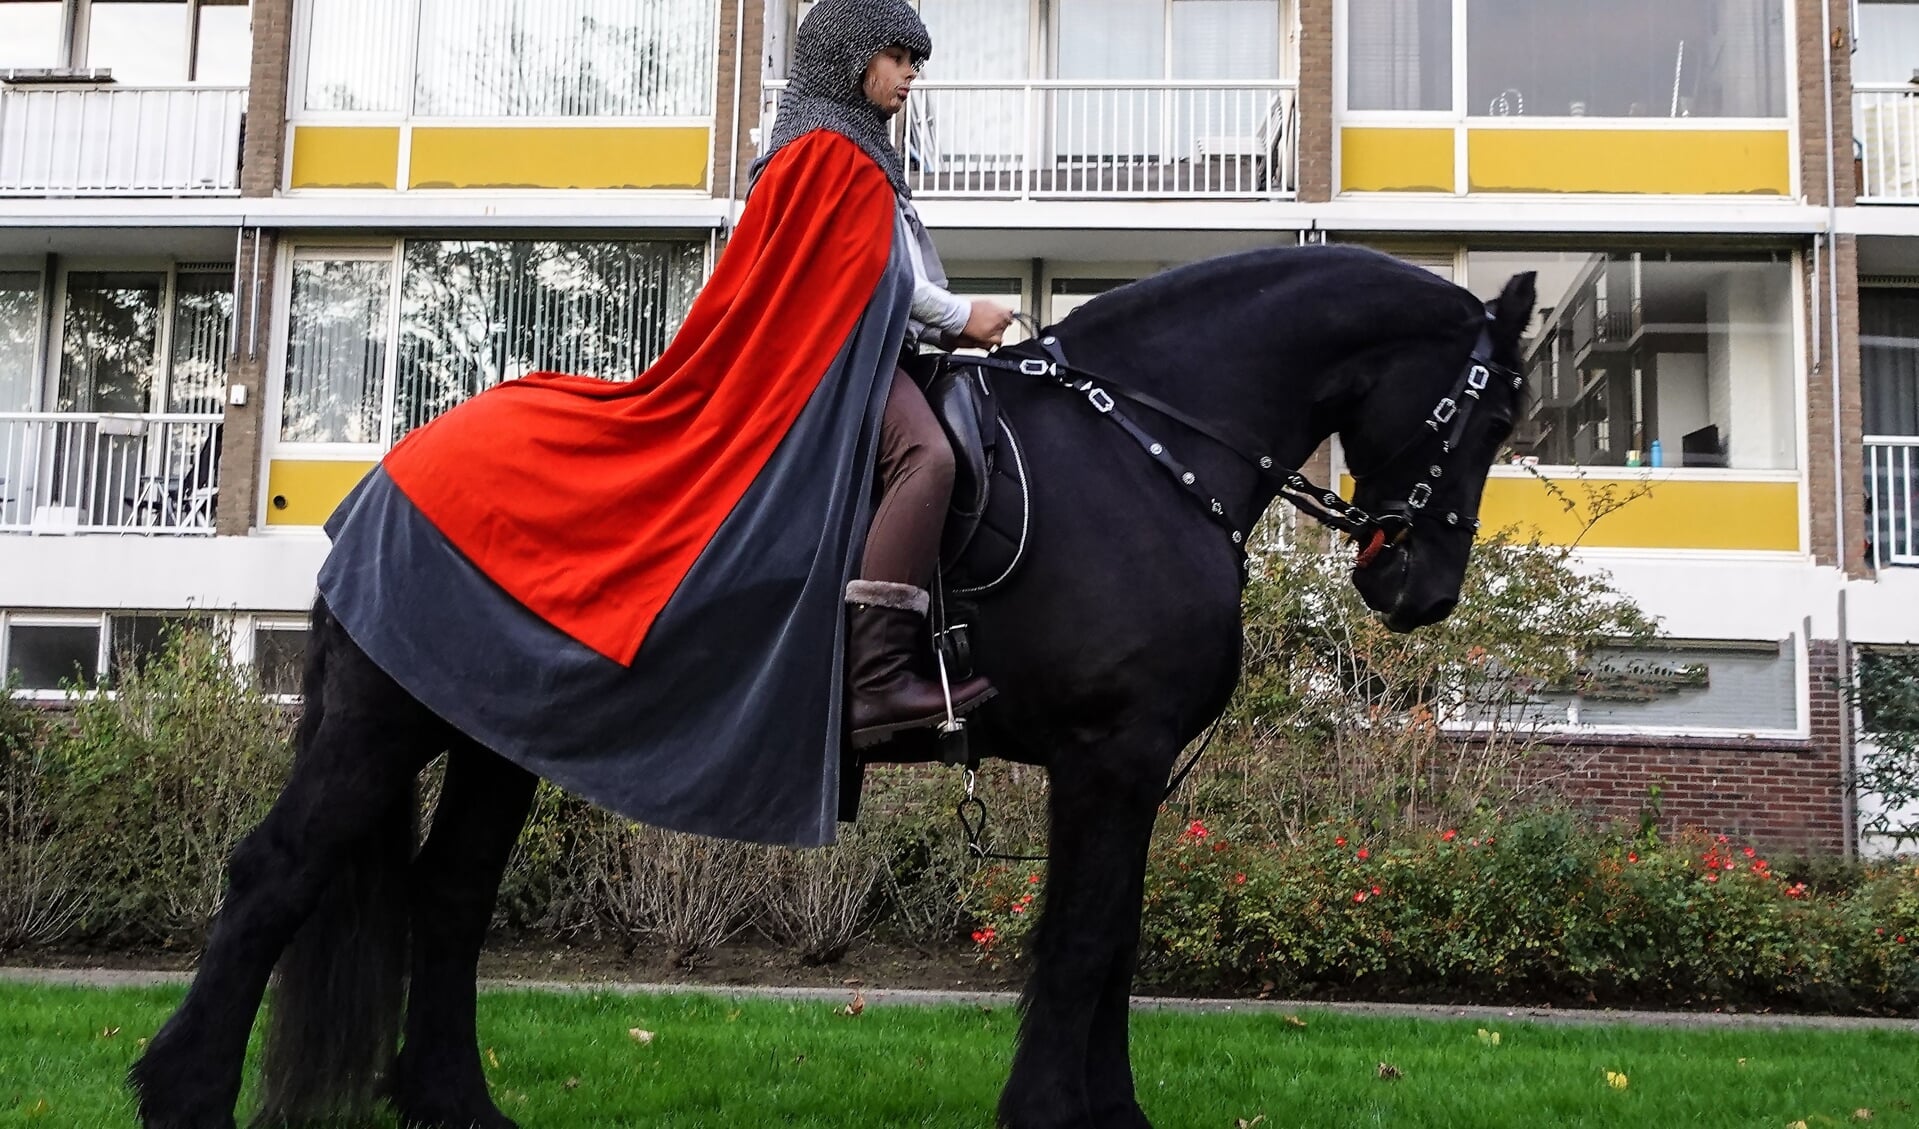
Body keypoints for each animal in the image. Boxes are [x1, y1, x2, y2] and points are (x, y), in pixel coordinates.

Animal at [127, 247, 1535, 1129]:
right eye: (1489, 413)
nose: (1416, 587)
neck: (1143, 448)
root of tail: (387, 473)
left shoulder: (1122, 770)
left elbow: (1112, 940)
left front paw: (1111, 1112)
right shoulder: (1109, 753)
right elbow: (1082, 940)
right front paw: (1047, 1111)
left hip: (492, 739)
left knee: (448, 897)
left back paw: (455, 1103)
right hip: (387, 719)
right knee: (276, 871)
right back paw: (181, 1091)